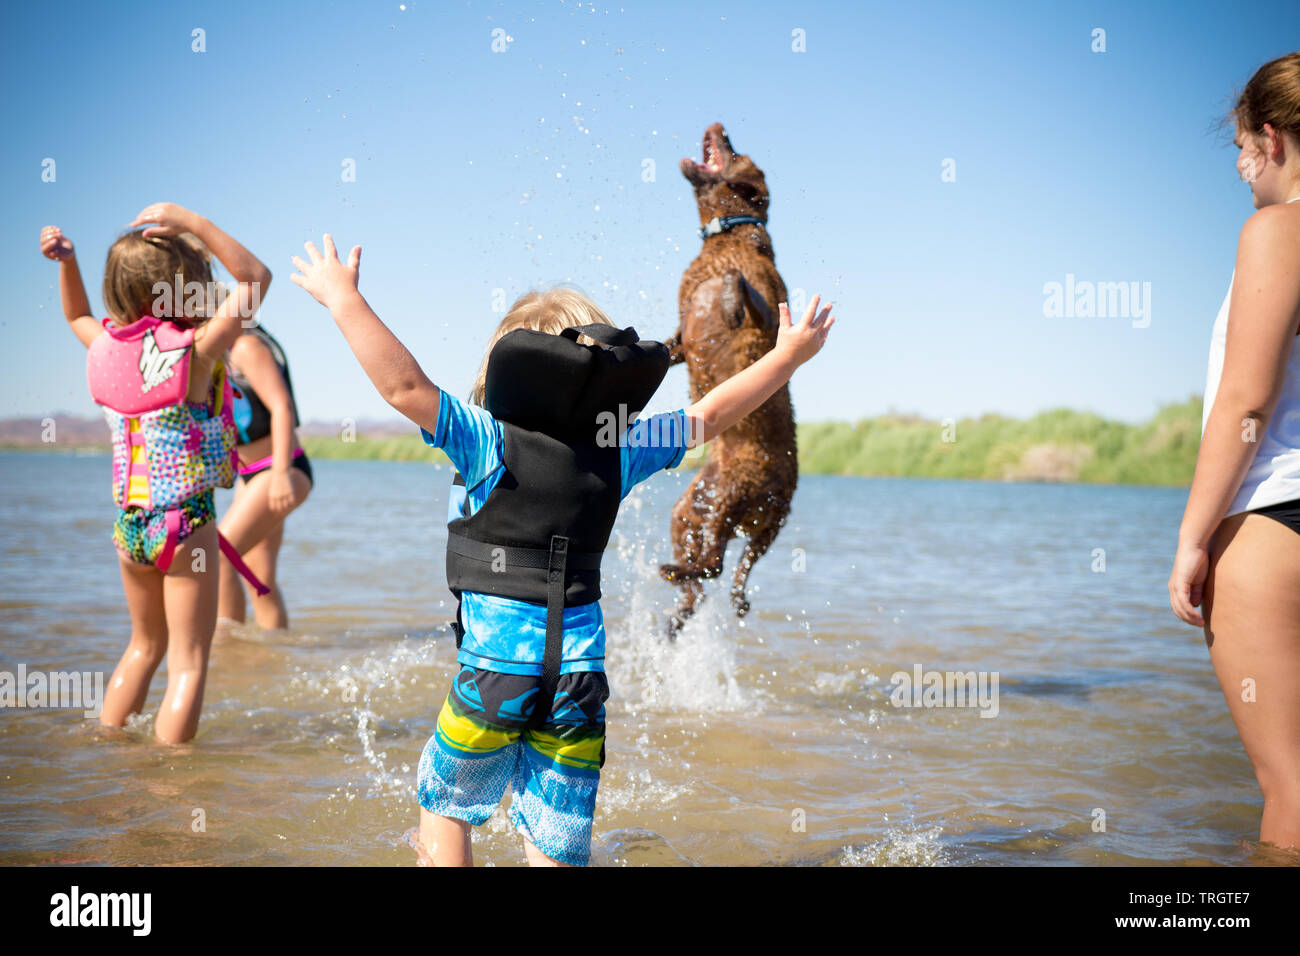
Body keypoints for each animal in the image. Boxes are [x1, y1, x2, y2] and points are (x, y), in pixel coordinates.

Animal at [665, 123, 795, 639]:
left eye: (736, 152)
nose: (718, 126)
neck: (728, 234)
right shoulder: (680, 337)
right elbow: (670, 343)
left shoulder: (771, 310)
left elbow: (737, 283)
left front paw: (725, 296)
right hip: (691, 513)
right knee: (713, 575)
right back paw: (679, 608)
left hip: (730, 496)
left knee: (717, 566)